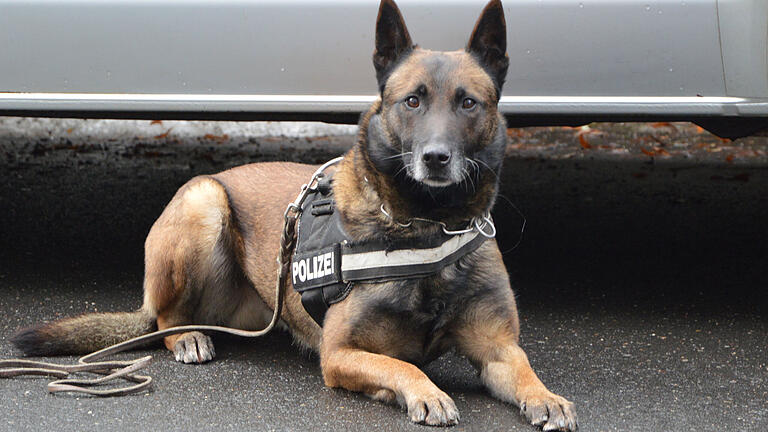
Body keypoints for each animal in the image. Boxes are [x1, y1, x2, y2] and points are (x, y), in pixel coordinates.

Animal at [12, 1, 576, 430]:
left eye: (468, 103)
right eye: (412, 101)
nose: (436, 159)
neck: (428, 227)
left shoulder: (497, 348)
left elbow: (523, 369)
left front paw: (546, 397)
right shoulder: (339, 354)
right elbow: (402, 367)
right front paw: (424, 392)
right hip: (205, 202)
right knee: (166, 317)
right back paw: (186, 336)